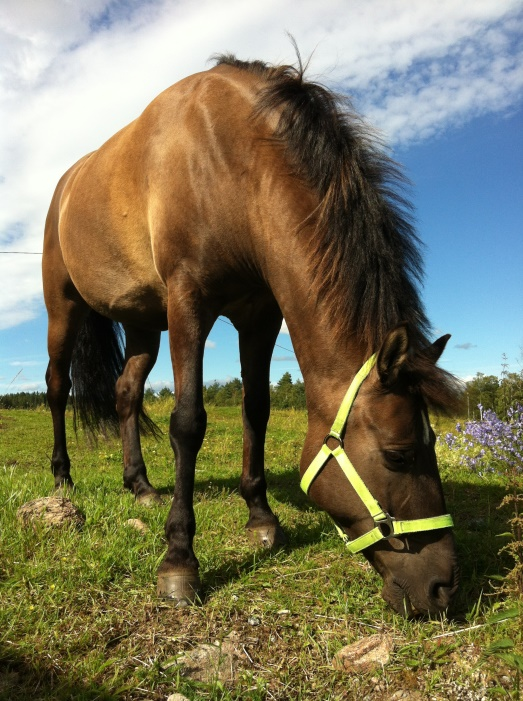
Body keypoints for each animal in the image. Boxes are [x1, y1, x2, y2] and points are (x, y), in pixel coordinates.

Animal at [44, 53, 462, 612]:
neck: (231, 161)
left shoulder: (260, 314)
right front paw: (179, 560)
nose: (443, 587)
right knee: (57, 386)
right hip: (63, 308)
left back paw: (141, 486)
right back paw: (63, 478)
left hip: (141, 322)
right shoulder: (189, 303)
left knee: (126, 392)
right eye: (399, 454)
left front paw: (262, 518)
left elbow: (256, 410)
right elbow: (188, 422)